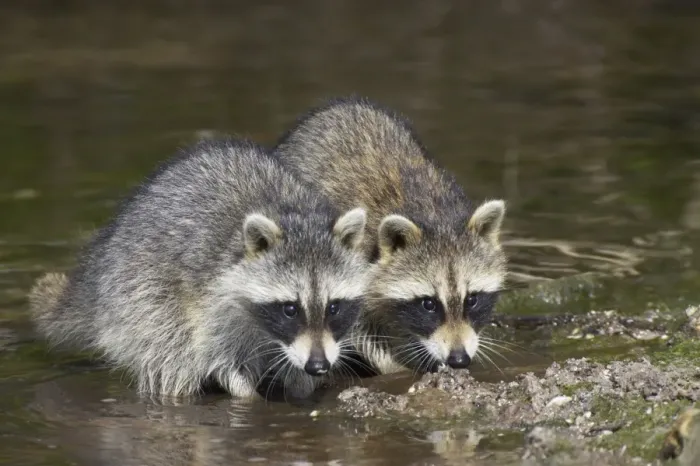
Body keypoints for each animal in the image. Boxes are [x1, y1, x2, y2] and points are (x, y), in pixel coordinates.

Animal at [29, 138, 369, 399]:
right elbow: (217, 357)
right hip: (139, 291)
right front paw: (246, 395)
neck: (292, 215)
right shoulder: (212, 299)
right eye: (290, 308)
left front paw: (303, 386)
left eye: (334, 307)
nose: (318, 366)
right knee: (170, 353)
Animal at [274, 97, 507, 374]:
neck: (435, 215)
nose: (458, 359)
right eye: (429, 304)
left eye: (472, 299)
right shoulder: (353, 265)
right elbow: (360, 331)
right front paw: (397, 369)